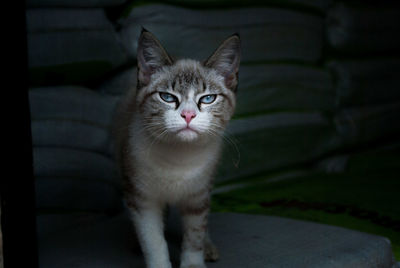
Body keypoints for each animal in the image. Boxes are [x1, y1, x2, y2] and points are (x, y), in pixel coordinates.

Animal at [115, 29, 241, 268]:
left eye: (208, 98)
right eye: (167, 97)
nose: (188, 115)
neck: (179, 158)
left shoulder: (198, 195)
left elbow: (195, 235)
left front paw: (193, 262)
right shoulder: (144, 200)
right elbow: (153, 239)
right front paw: (159, 263)